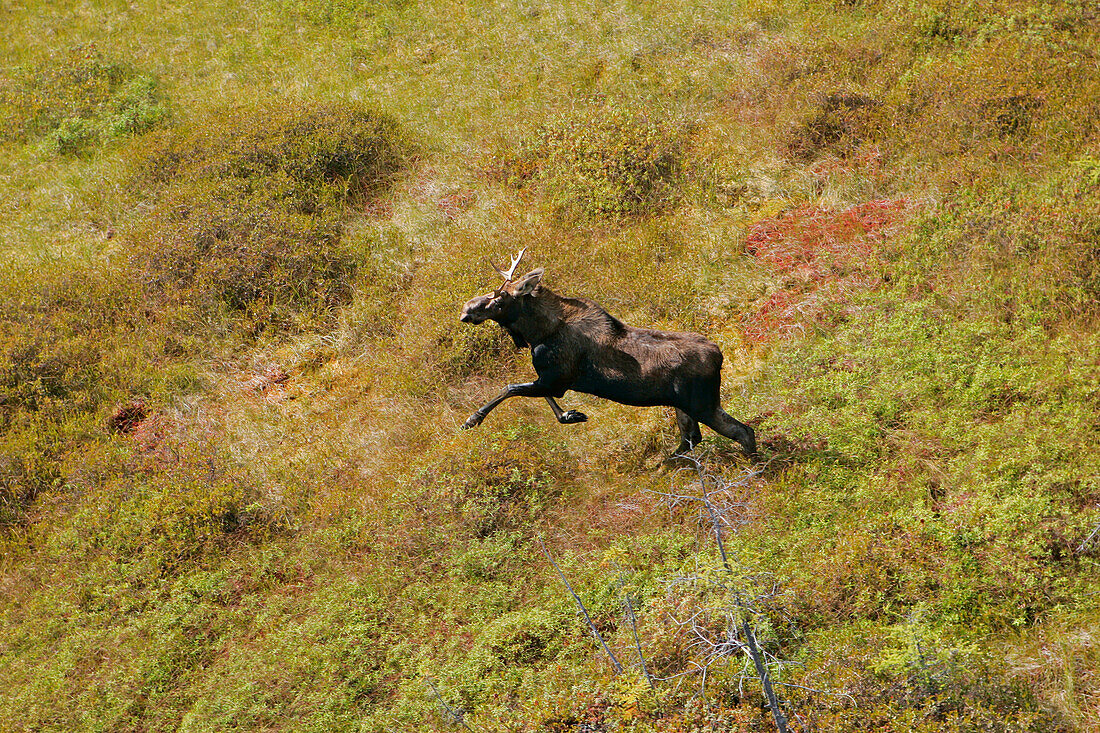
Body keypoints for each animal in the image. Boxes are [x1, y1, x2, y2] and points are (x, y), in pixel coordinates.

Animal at [455, 250, 756, 457]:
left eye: (498, 300)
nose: (466, 311)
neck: (538, 333)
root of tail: (719, 356)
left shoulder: (556, 379)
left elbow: (510, 389)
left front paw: (472, 419)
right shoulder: (550, 380)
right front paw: (571, 415)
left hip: (702, 403)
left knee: (743, 431)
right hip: (684, 405)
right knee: (691, 439)